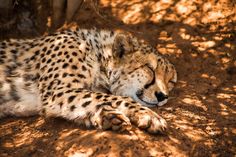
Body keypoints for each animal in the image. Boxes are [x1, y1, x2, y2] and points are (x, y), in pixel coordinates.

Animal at [0, 28, 177, 134]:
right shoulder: (59, 91)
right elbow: (114, 97)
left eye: (171, 82)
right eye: (150, 68)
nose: (163, 96)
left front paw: (107, 117)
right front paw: (148, 115)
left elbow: (88, 102)